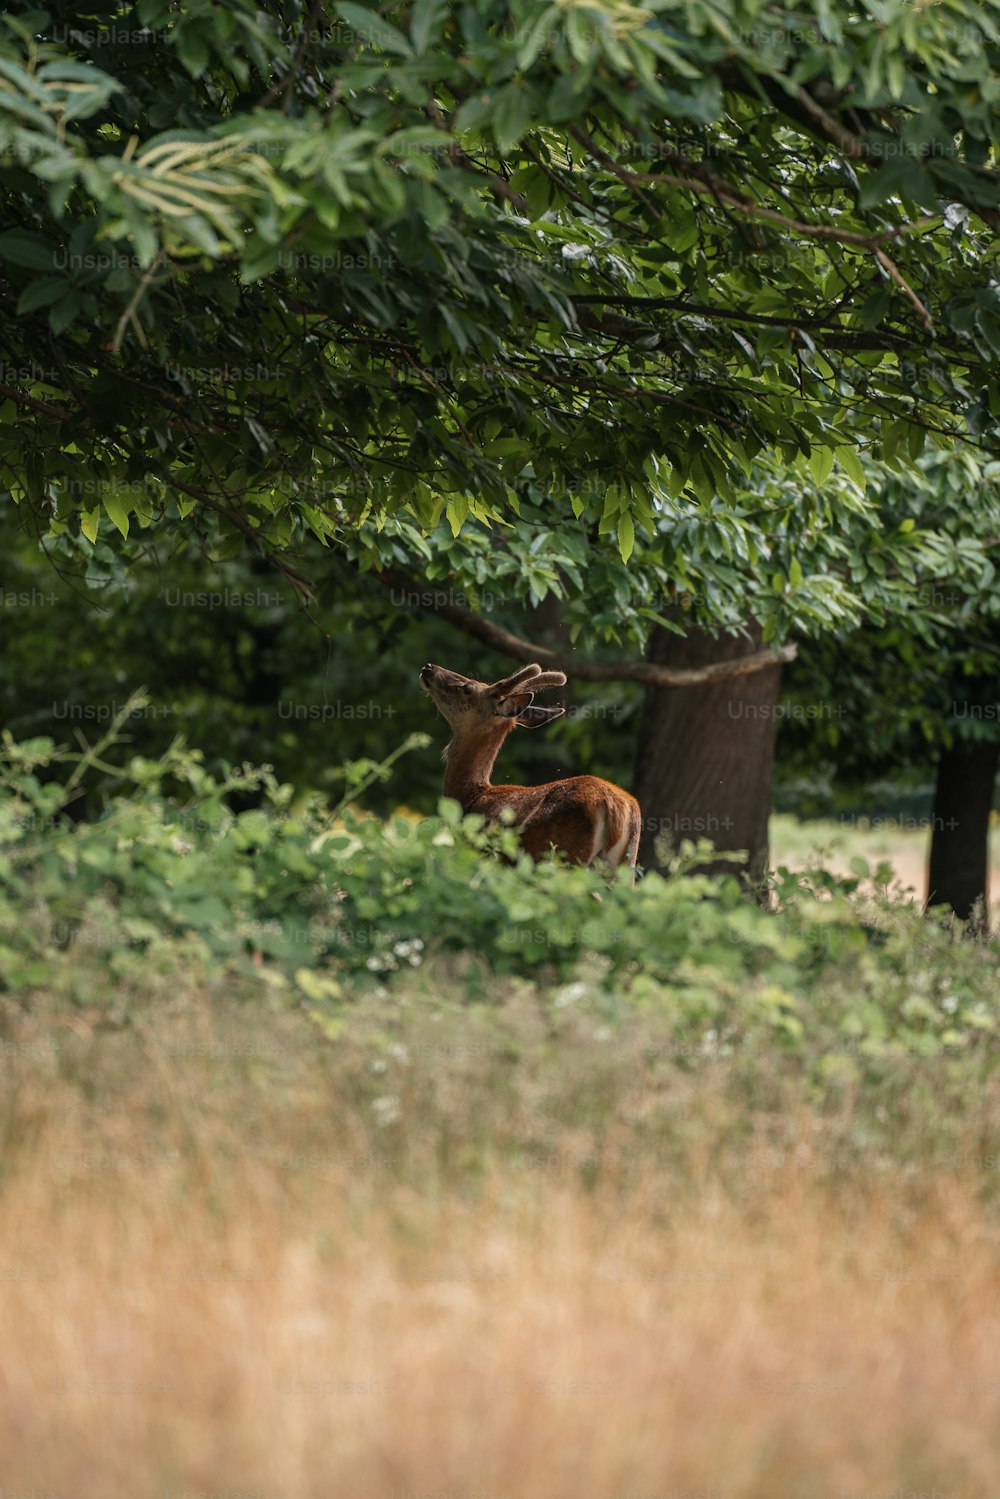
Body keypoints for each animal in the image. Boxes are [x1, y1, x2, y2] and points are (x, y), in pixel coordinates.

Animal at [419, 662, 641, 875]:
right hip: (623, 866)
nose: (429, 668)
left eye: (467, 687)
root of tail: (616, 808)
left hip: (561, 858)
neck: (469, 798)